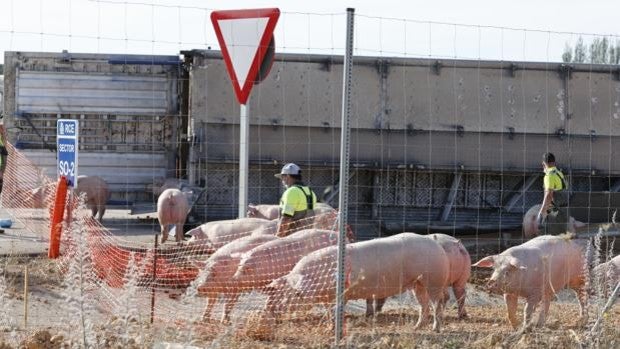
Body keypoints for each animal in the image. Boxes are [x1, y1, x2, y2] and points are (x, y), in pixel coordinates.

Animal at [264, 232, 448, 330]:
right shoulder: (327, 298)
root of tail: (437, 246)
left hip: (434, 280)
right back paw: (416, 327)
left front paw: (334, 327)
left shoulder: (340, 295)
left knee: (437, 304)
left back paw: (435, 329)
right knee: (424, 305)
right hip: (418, 283)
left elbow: (335, 311)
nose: (270, 308)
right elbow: (328, 312)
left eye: (290, 294)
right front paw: (329, 327)